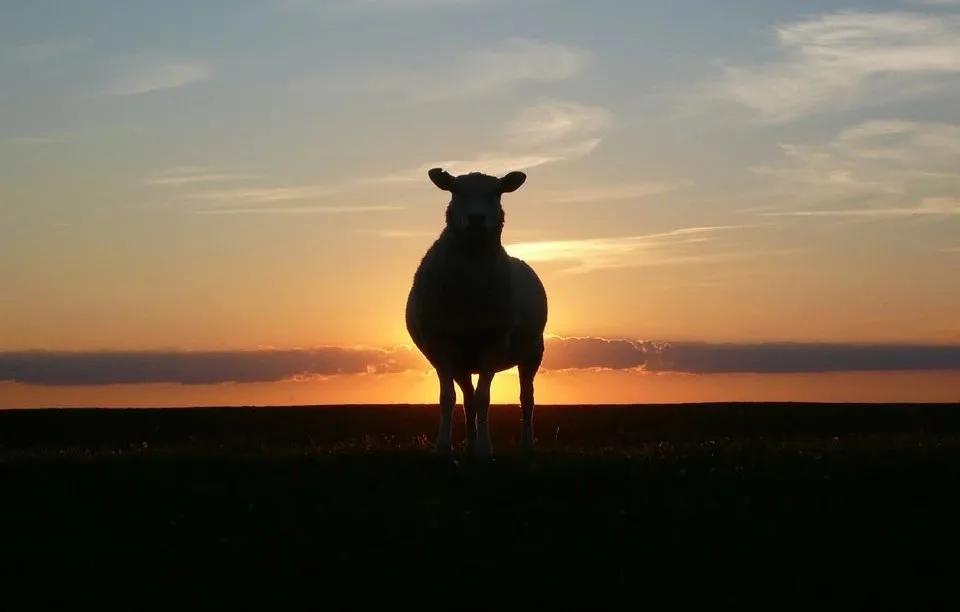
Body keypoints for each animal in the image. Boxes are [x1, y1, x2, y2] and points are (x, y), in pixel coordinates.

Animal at [404, 166, 544, 454]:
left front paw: (484, 448)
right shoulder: (440, 345)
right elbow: (448, 398)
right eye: (455, 190)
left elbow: (484, 398)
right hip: (463, 362)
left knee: (527, 397)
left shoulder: (493, 343)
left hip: (532, 352)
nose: (477, 219)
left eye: (498, 192)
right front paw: (443, 446)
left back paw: (526, 443)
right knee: (466, 398)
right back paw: (468, 443)